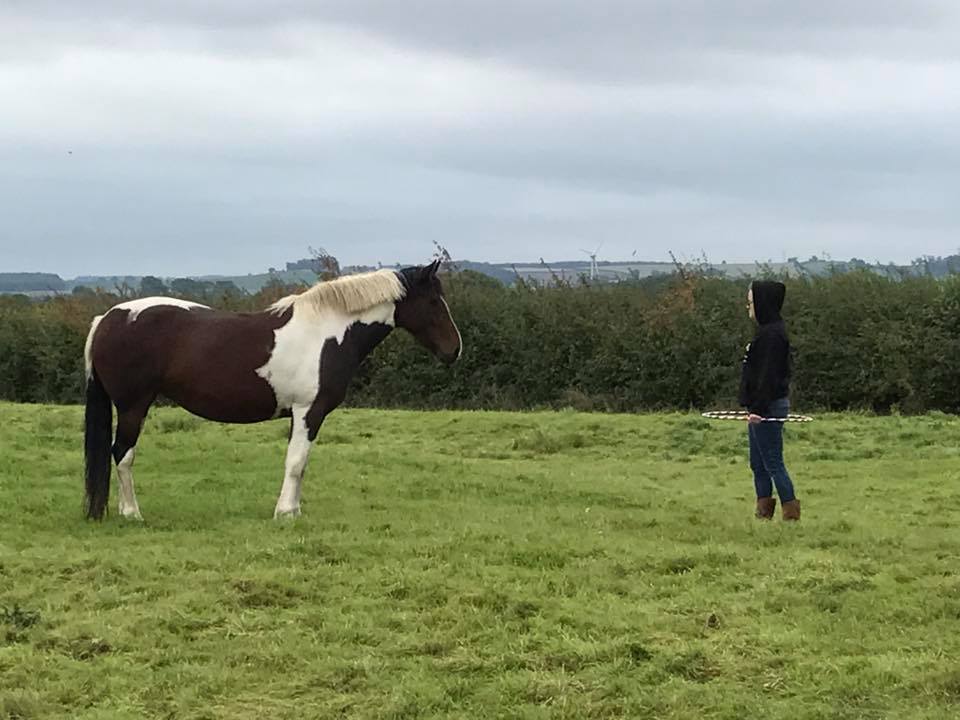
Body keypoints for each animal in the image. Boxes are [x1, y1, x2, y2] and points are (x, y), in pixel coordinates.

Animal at [82, 262, 462, 520]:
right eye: (433, 302)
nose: (454, 350)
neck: (329, 332)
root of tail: (107, 319)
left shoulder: (299, 414)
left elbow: (299, 463)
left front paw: (292, 510)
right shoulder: (310, 410)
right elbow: (296, 462)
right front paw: (284, 514)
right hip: (133, 405)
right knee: (122, 454)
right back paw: (132, 513)